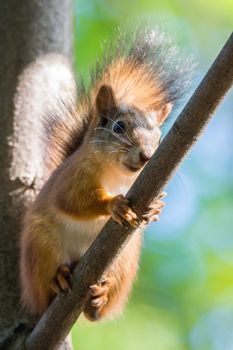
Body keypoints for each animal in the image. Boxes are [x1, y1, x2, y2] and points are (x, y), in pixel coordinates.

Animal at [19, 26, 191, 322]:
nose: (146, 156)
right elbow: (71, 200)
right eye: (118, 127)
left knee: (98, 310)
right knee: (45, 290)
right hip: (41, 247)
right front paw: (114, 204)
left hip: (125, 260)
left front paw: (156, 206)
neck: (117, 176)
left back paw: (100, 297)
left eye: (159, 138)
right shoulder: (70, 177)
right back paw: (58, 280)